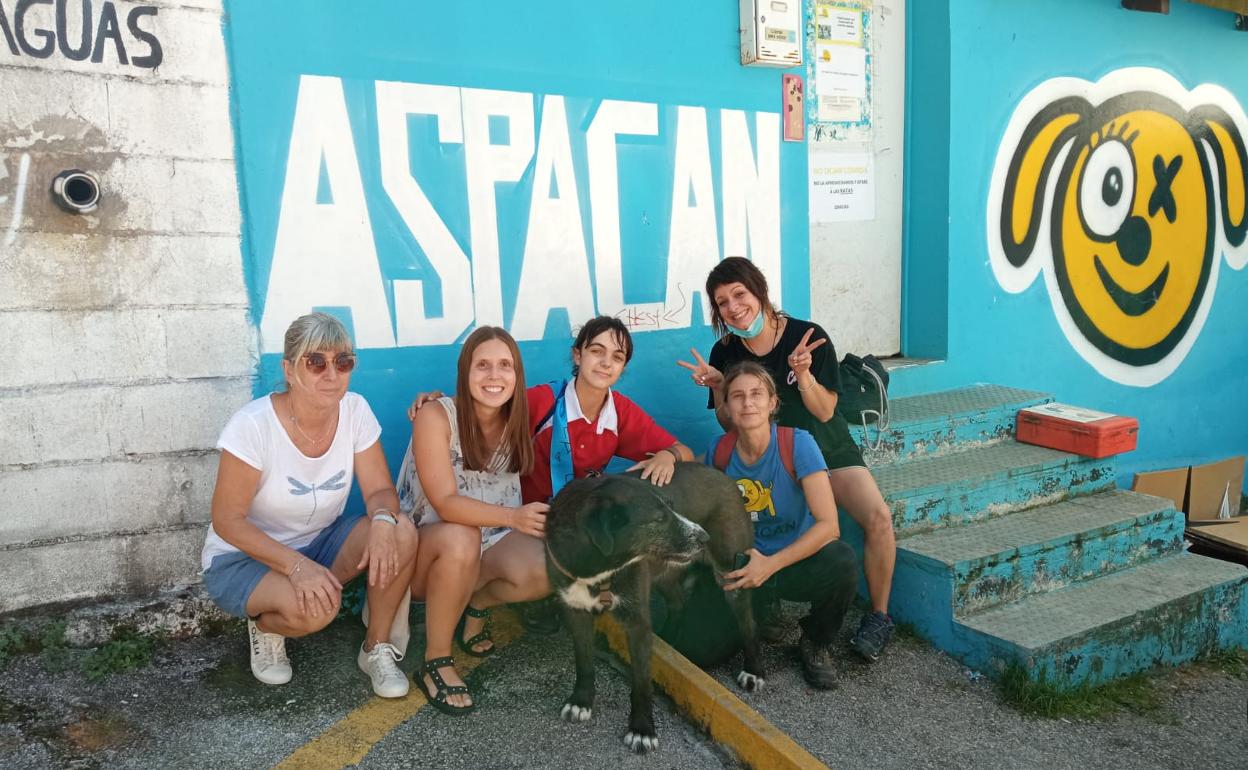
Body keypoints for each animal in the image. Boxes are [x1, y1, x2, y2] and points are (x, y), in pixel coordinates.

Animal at [544, 461, 758, 748]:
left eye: (671, 506)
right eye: (658, 518)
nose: (704, 536)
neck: (598, 567)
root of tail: (726, 479)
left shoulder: (636, 622)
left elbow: (641, 681)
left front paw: (642, 729)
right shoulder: (575, 610)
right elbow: (584, 661)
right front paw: (581, 701)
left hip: (731, 573)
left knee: (748, 622)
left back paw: (753, 671)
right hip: (665, 573)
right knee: (678, 601)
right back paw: (669, 636)